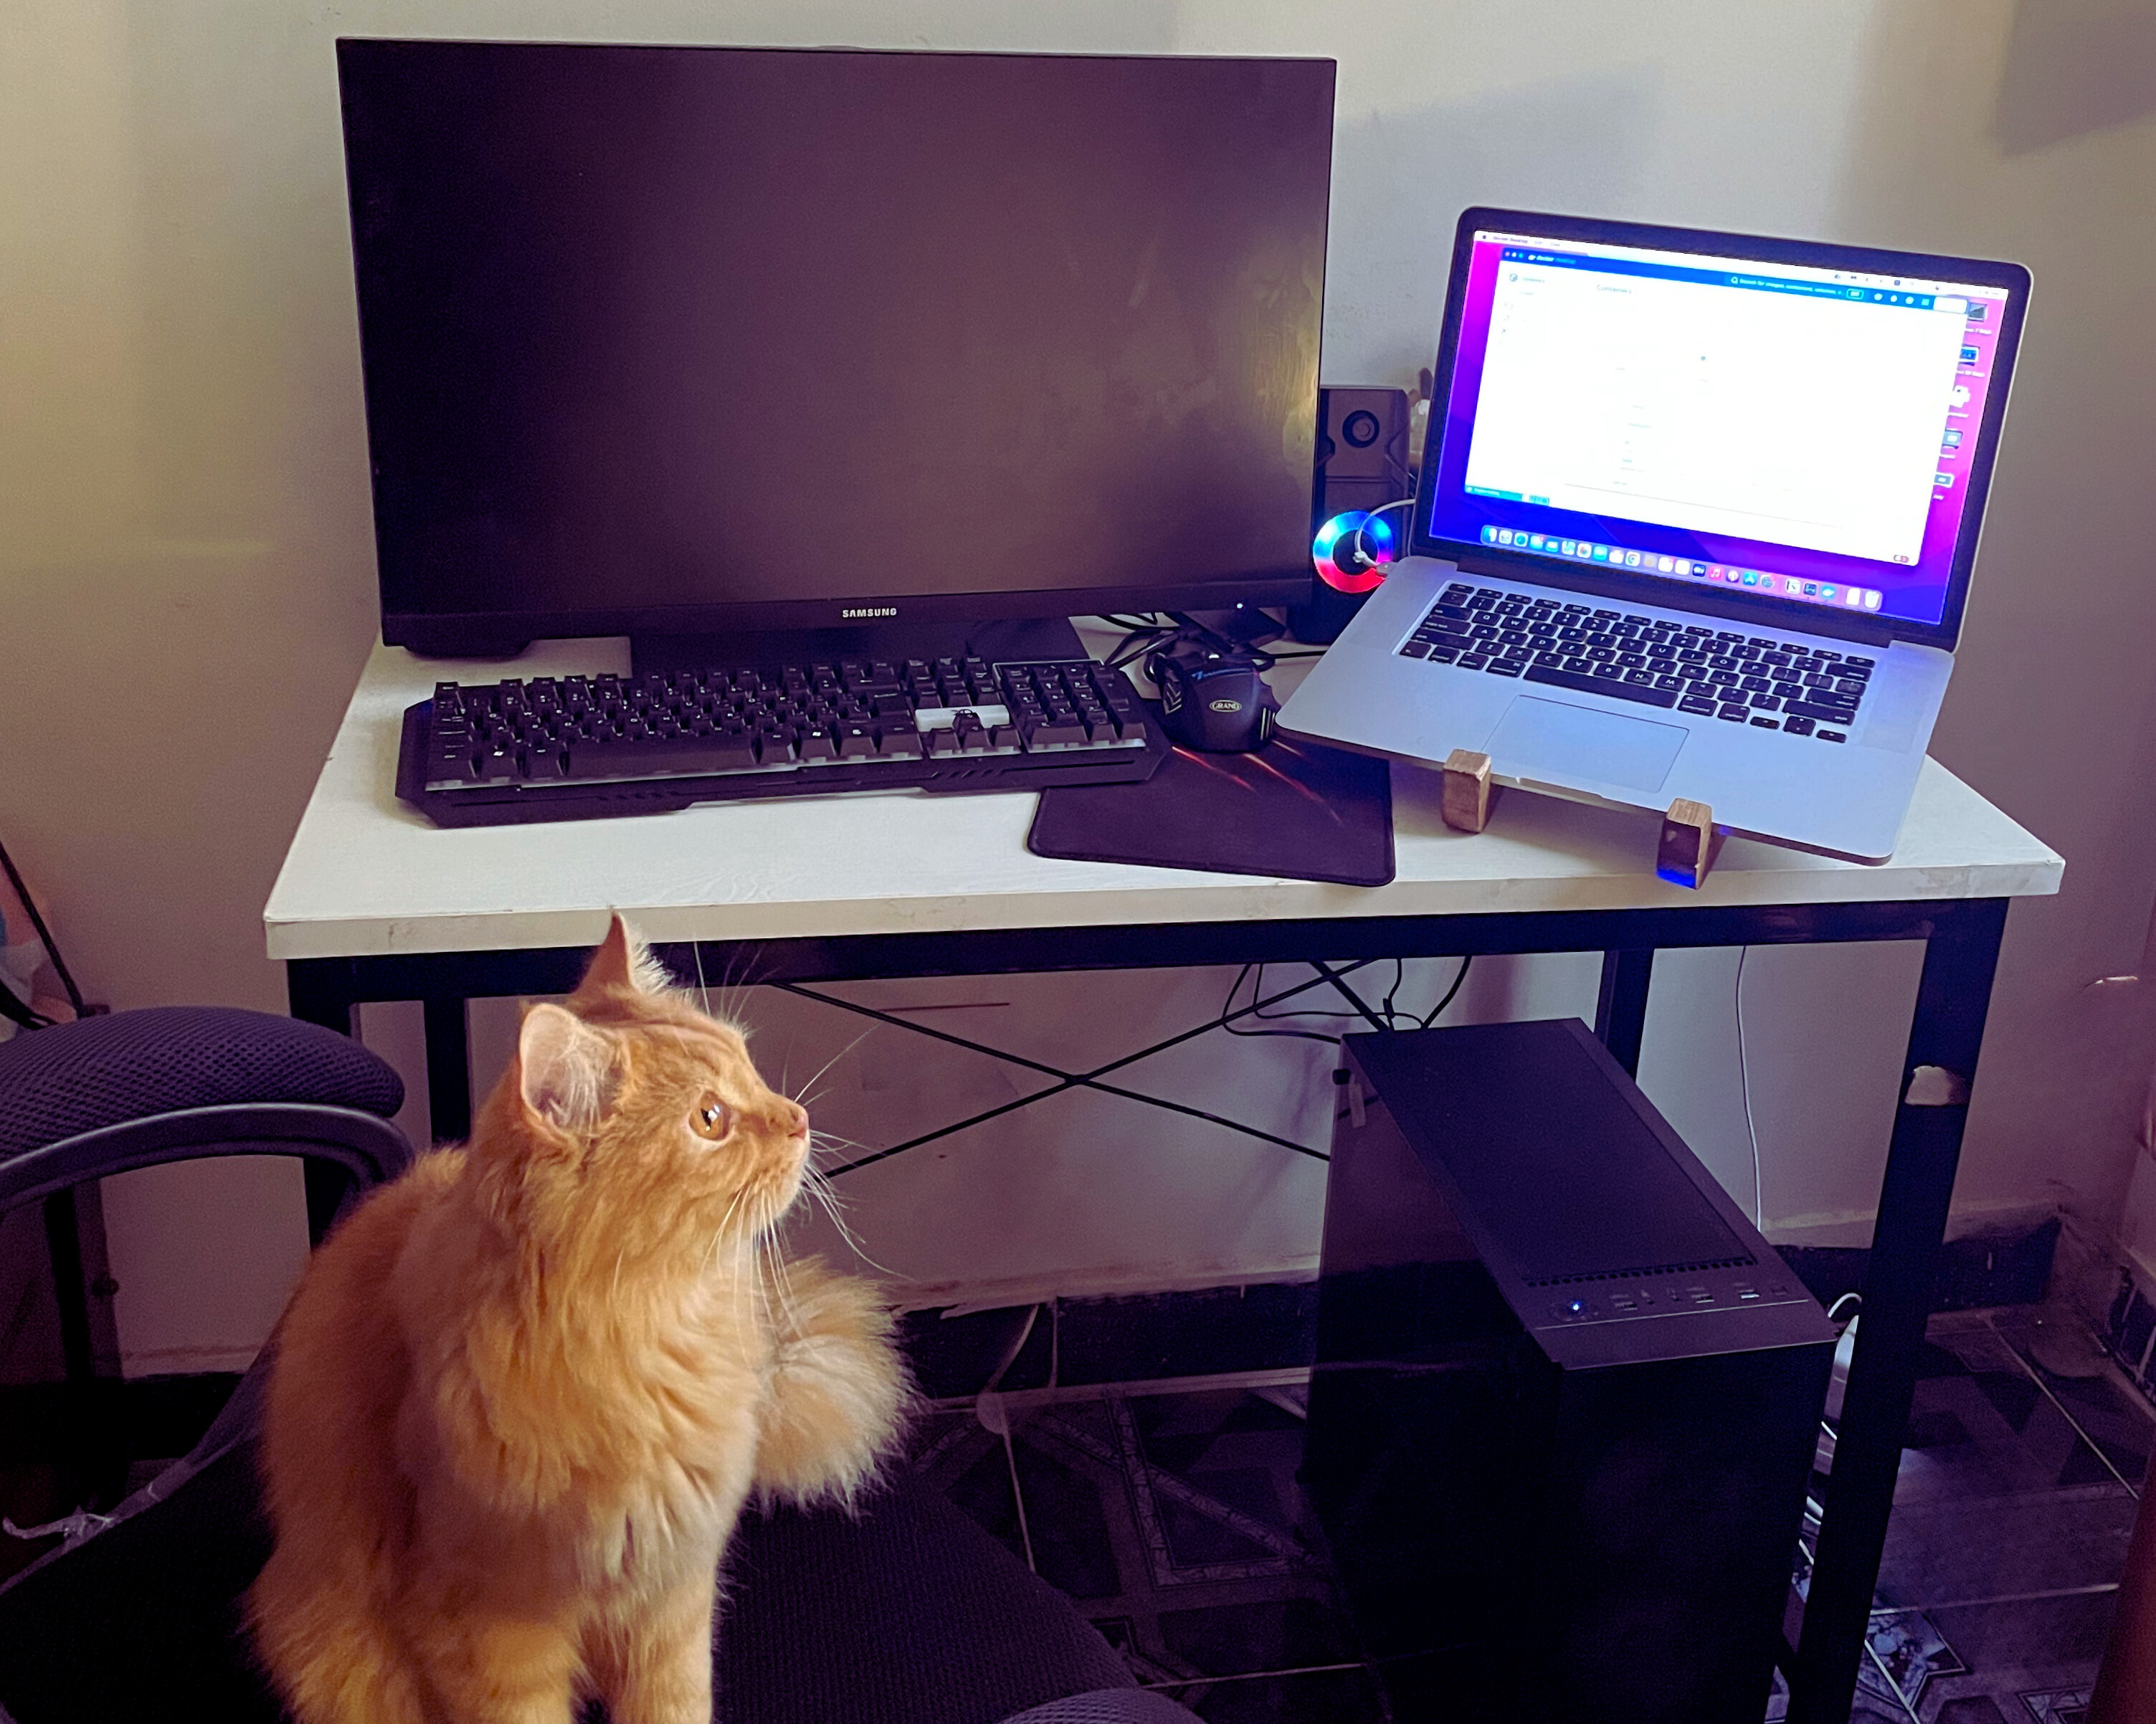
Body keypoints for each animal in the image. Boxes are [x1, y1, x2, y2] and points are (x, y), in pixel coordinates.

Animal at [250, 922, 901, 1724]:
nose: (799, 1117)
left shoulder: (673, 1599)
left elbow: (674, 1705)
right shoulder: (491, 1631)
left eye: (747, 1065)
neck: (652, 1338)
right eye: (710, 1119)